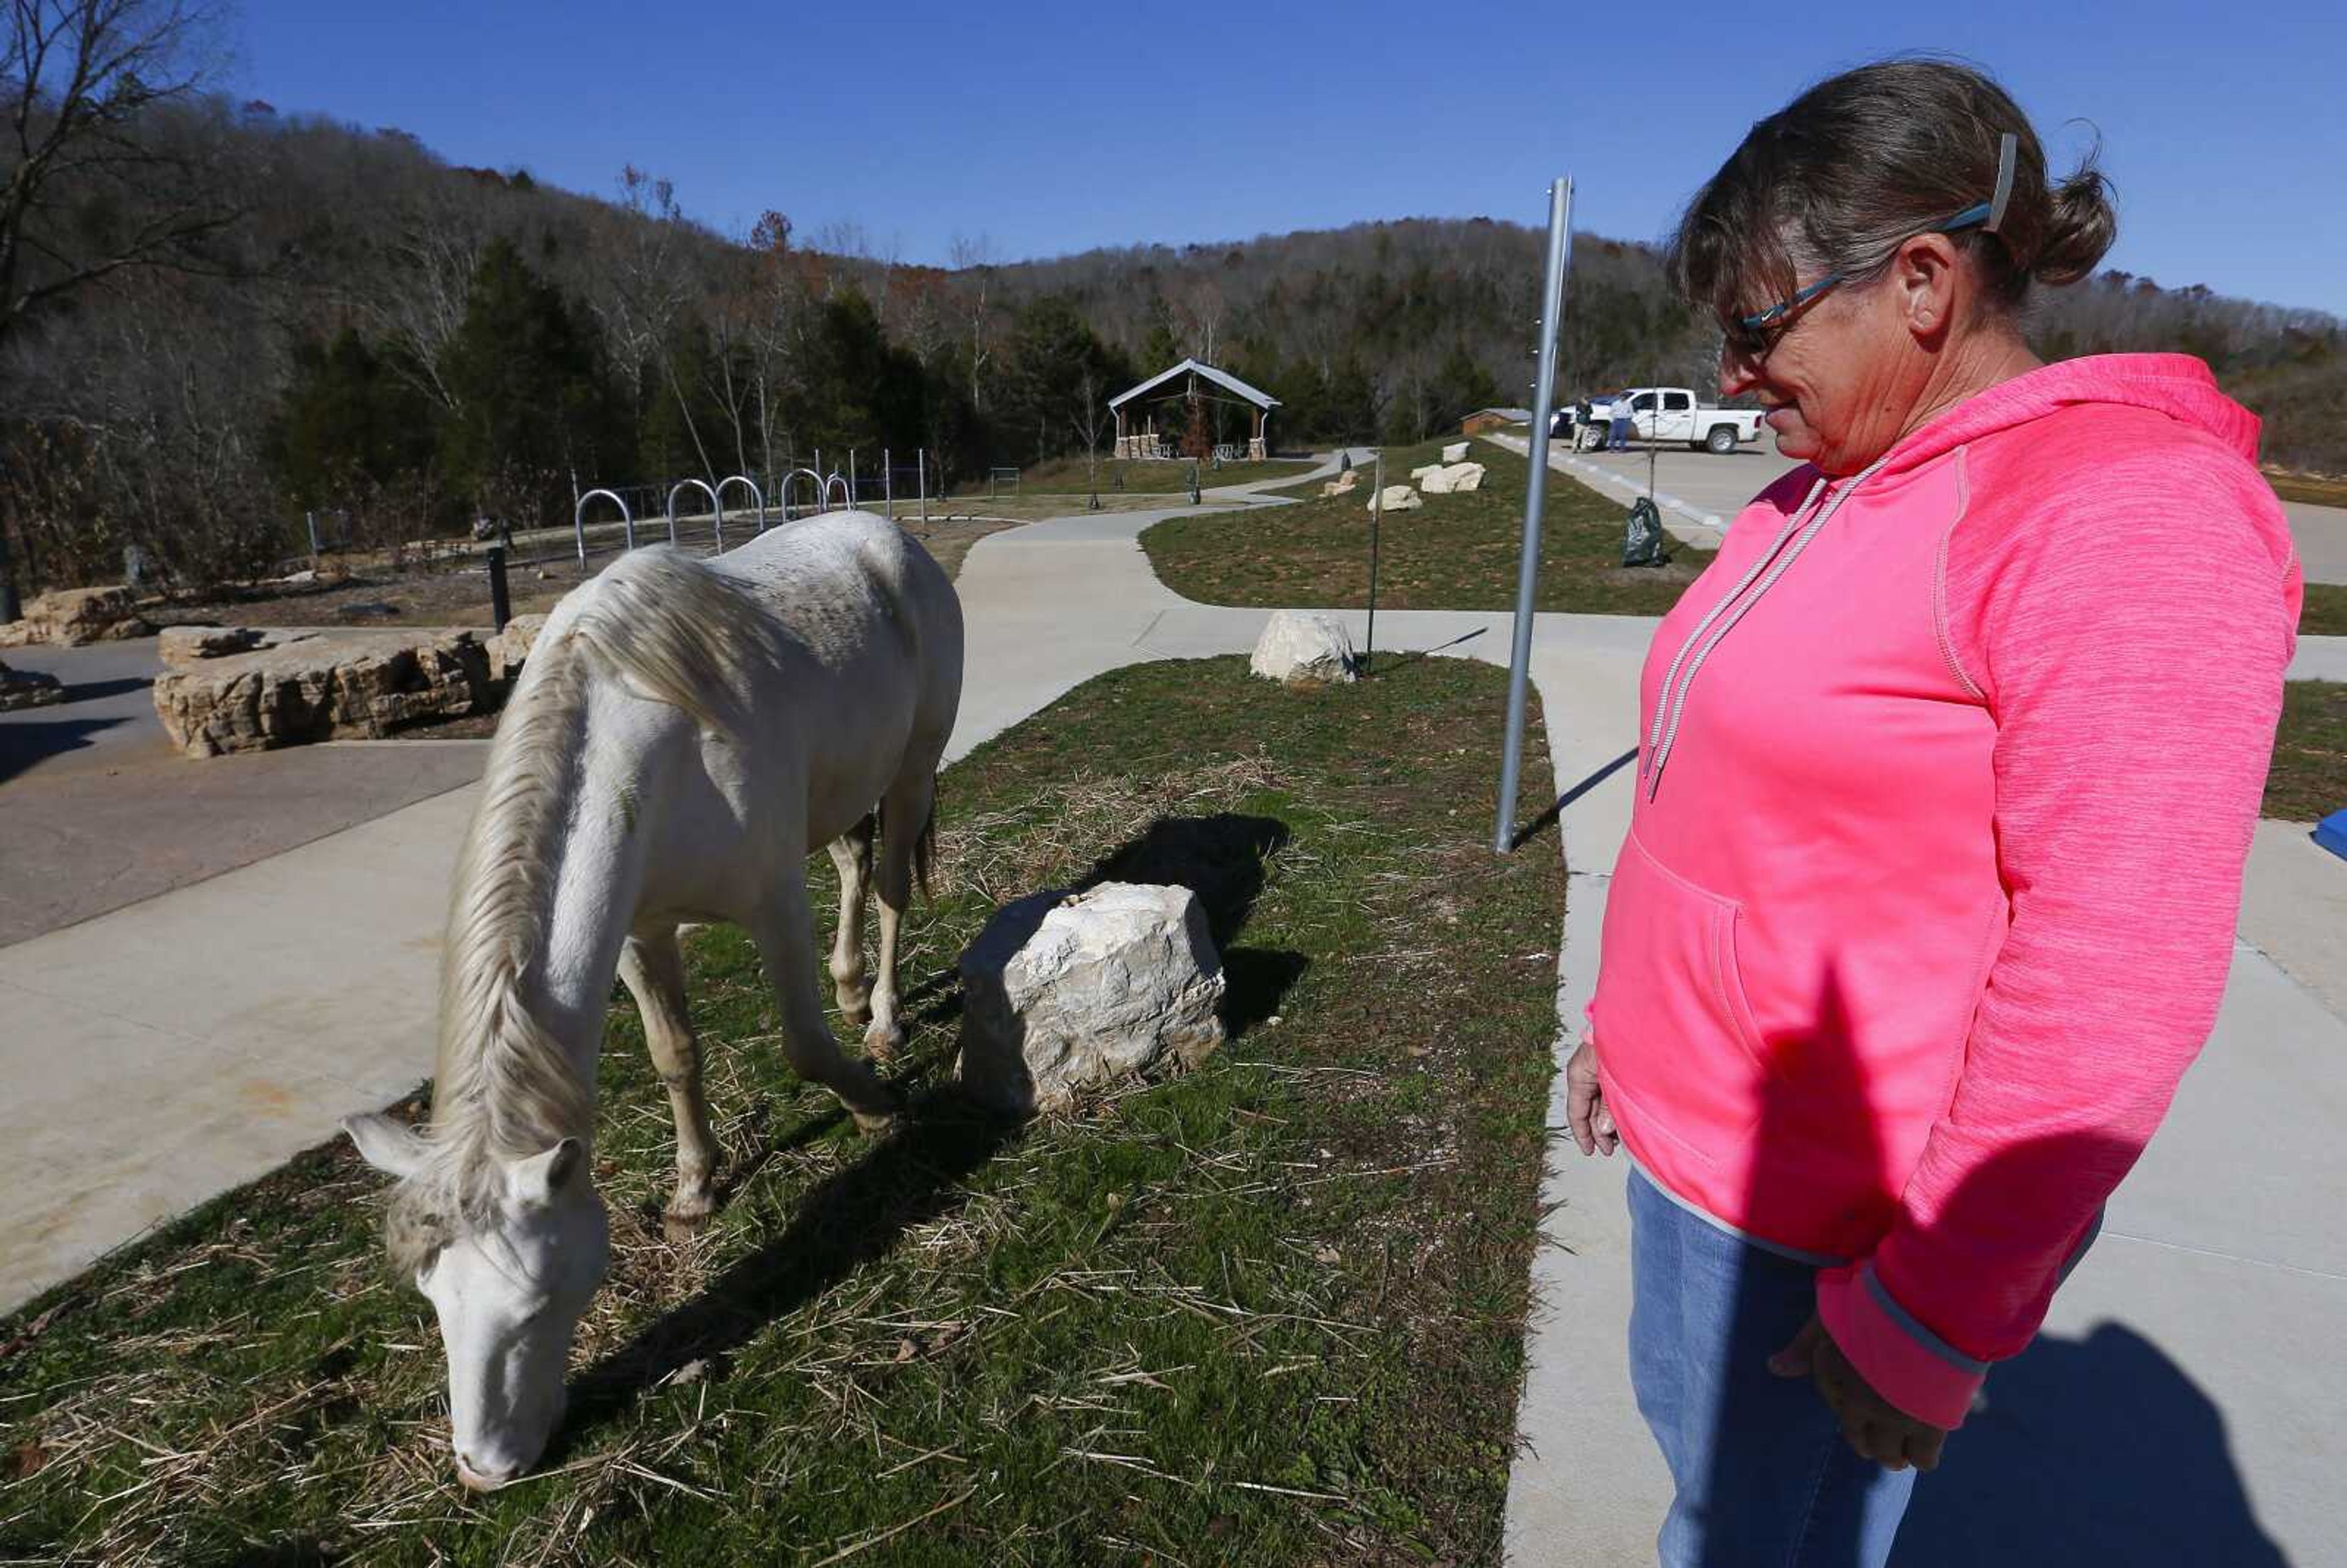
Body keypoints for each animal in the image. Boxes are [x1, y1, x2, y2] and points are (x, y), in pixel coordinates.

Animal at [342, 516, 962, 1493]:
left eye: (537, 1301)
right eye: (434, 1297)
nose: (485, 1466)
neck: (649, 748)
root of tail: (886, 534)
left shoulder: (772, 903)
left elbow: (803, 1045)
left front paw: (874, 1107)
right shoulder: (642, 931)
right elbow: (676, 1056)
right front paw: (694, 1186)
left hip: (912, 771)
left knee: (894, 883)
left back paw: (886, 1016)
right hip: (839, 795)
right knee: (855, 863)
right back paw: (852, 981)